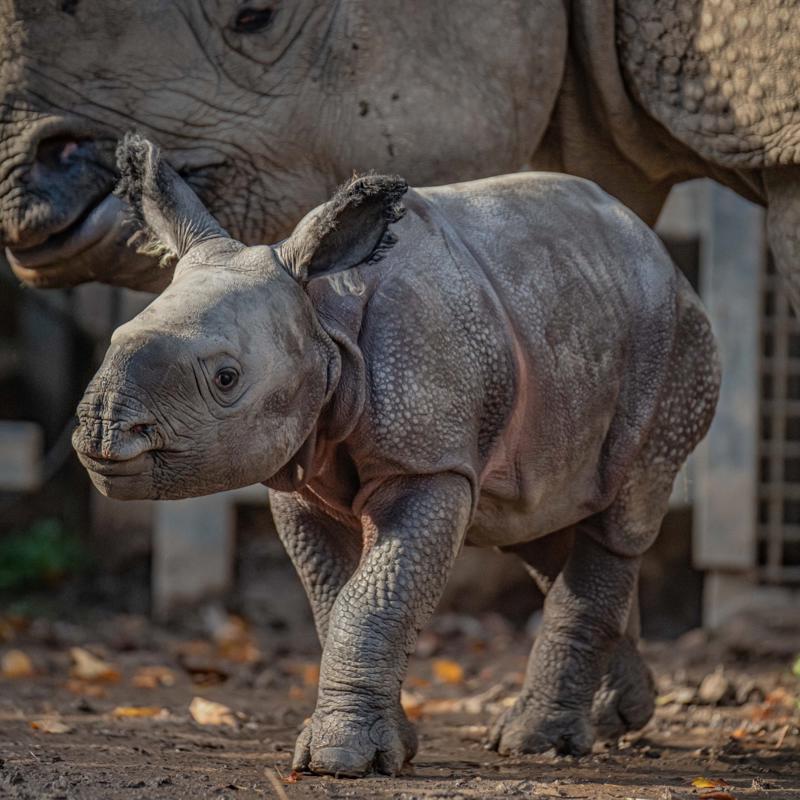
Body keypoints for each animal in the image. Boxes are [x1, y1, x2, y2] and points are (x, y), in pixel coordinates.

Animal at [72, 136, 720, 776]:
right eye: (113, 340)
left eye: (226, 378)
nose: (102, 432)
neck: (322, 316)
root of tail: (661, 253)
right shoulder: (300, 472)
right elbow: (335, 598)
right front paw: (382, 746)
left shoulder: (428, 459)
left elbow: (375, 595)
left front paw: (340, 760)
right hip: (569, 314)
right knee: (546, 526)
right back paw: (617, 717)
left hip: (673, 342)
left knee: (622, 515)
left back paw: (539, 742)